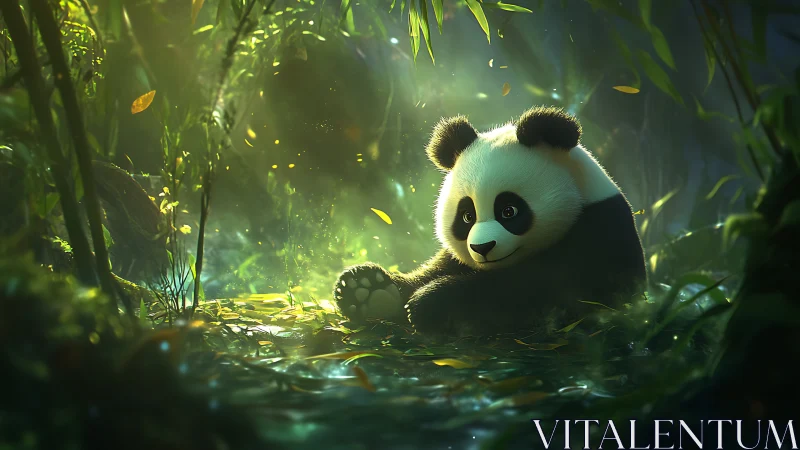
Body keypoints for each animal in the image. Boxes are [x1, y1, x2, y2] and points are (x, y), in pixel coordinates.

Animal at [333, 106, 647, 336]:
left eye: (509, 211)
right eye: (467, 216)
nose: (482, 248)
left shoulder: (600, 234)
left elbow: (541, 290)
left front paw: (431, 302)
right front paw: (365, 290)